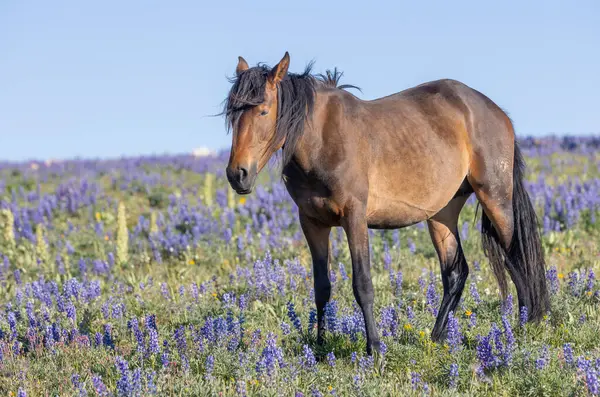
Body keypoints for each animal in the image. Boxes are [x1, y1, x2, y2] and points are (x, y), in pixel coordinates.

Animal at [220, 51, 548, 354]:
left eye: (263, 111)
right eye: (232, 113)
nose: (238, 174)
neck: (321, 140)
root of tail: (495, 111)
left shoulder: (354, 217)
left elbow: (363, 284)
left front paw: (375, 349)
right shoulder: (312, 222)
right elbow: (321, 287)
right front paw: (321, 349)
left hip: (496, 198)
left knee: (516, 259)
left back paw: (522, 328)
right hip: (442, 213)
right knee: (455, 273)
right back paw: (437, 338)